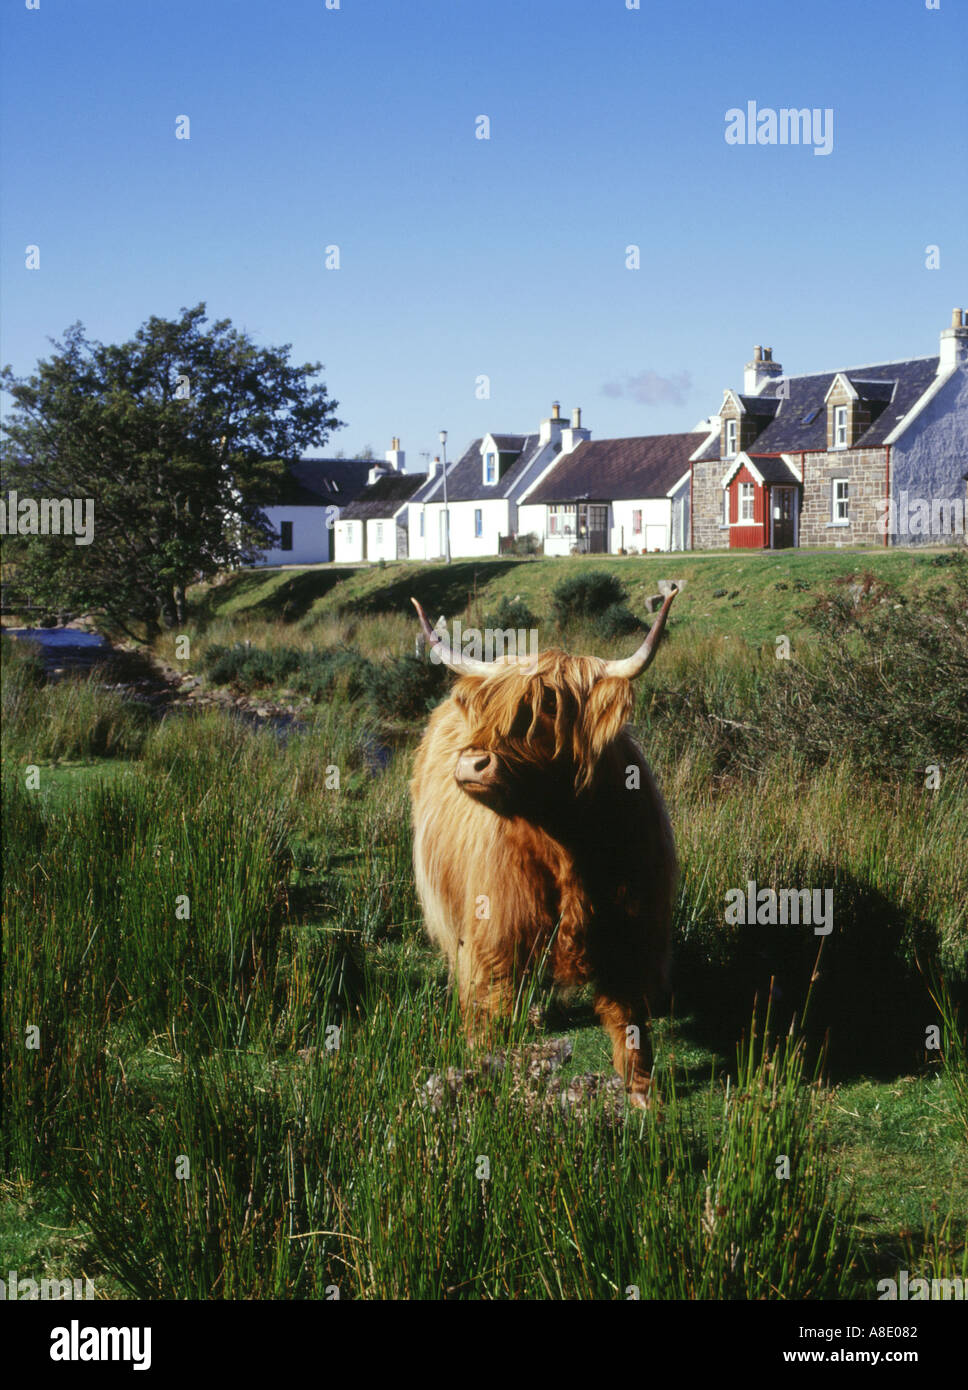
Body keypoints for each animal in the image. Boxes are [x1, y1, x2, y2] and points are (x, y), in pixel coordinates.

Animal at [408, 586, 681, 1106]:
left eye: (548, 708)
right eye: (490, 711)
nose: (471, 764)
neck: (566, 844)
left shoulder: (633, 930)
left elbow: (629, 1015)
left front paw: (641, 1091)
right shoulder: (497, 929)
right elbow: (492, 1001)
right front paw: (482, 1063)